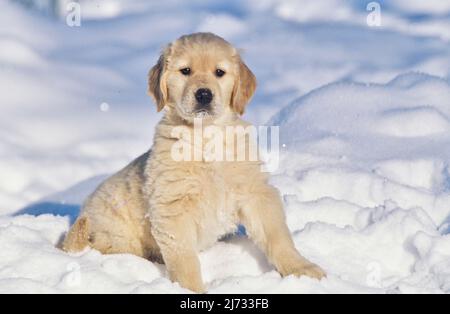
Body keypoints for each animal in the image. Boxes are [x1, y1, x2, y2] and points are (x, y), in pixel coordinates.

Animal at [62, 31, 324, 292]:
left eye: (219, 72)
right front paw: (191, 290)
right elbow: (184, 259)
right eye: (185, 71)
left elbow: (277, 235)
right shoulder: (173, 207)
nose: (204, 94)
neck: (206, 137)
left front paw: (302, 269)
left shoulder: (255, 191)